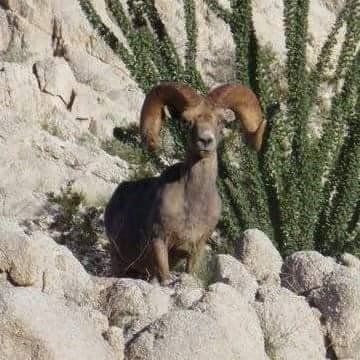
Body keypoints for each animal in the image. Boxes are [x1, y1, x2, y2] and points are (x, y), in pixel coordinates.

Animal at [102, 82, 266, 284]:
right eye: (187, 122)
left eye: (221, 122)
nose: (205, 140)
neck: (192, 205)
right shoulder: (159, 242)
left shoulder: (196, 249)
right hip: (119, 262)